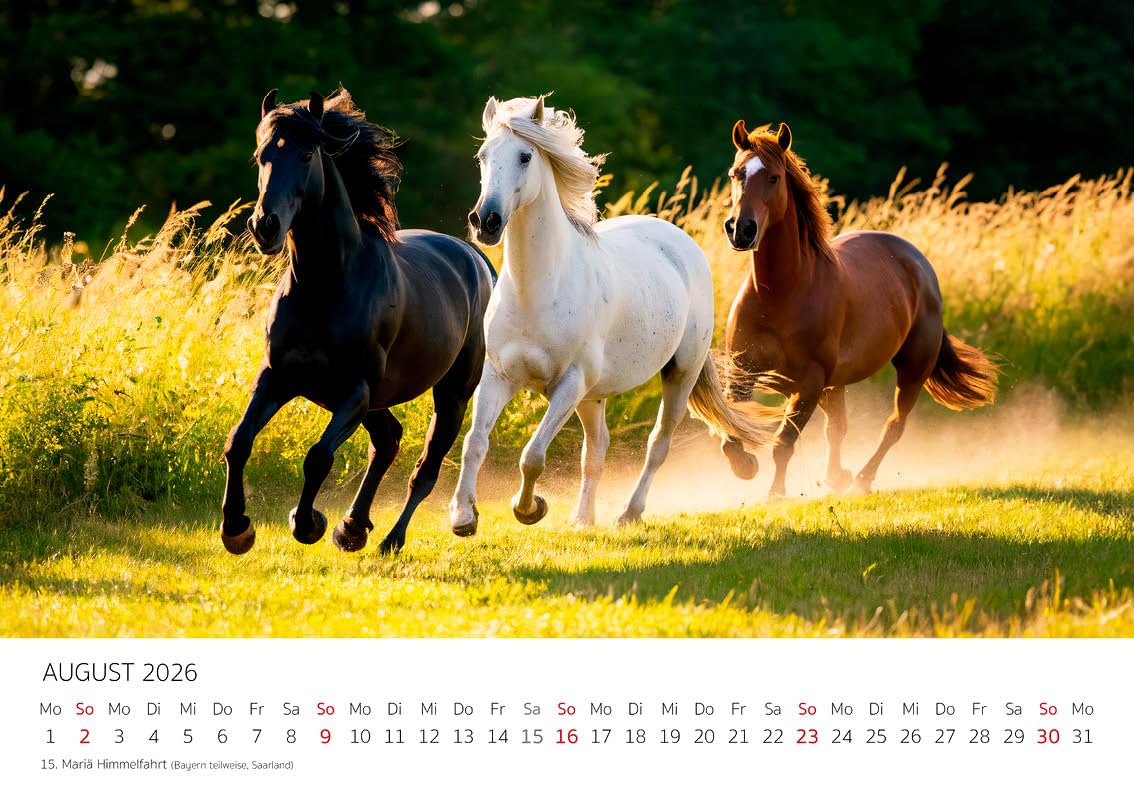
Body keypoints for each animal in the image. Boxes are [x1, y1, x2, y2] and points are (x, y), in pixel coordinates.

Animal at [220, 87, 494, 555]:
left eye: (307, 153)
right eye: (261, 155)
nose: (265, 226)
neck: (325, 287)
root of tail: (475, 258)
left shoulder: (355, 390)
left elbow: (318, 456)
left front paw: (307, 522)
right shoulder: (279, 376)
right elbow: (239, 441)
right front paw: (236, 528)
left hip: (452, 394)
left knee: (424, 468)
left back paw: (389, 539)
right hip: (377, 401)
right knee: (387, 441)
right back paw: (352, 526)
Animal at [448, 95, 776, 536]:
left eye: (524, 156)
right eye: (482, 156)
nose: (486, 221)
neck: (539, 290)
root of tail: (677, 238)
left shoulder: (569, 383)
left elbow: (532, 455)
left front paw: (529, 509)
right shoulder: (500, 375)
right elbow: (474, 443)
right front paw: (463, 516)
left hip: (679, 374)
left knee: (658, 444)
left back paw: (628, 513)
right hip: (593, 395)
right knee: (597, 448)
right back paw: (583, 518)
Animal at [721, 120, 998, 499]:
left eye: (774, 177)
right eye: (736, 173)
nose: (741, 229)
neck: (780, 294)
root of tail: (918, 264)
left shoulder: (809, 383)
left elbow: (784, 441)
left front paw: (775, 494)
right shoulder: (742, 370)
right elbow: (729, 430)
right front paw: (746, 466)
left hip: (913, 370)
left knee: (893, 426)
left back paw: (861, 479)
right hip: (836, 384)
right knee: (838, 427)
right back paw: (837, 476)